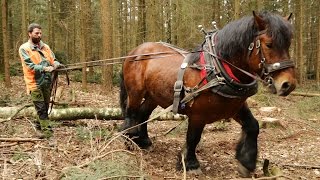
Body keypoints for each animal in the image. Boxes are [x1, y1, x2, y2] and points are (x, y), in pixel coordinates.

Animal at [119, 10, 298, 176]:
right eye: (269, 44)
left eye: (288, 44)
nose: (288, 84)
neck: (218, 70)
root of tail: (135, 51)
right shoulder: (198, 114)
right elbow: (193, 137)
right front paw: (191, 164)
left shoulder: (235, 107)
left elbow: (253, 126)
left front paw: (246, 162)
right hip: (135, 92)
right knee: (132, 113)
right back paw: (129, 140)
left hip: (153, 96)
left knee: (143, 114)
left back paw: (144, 141)